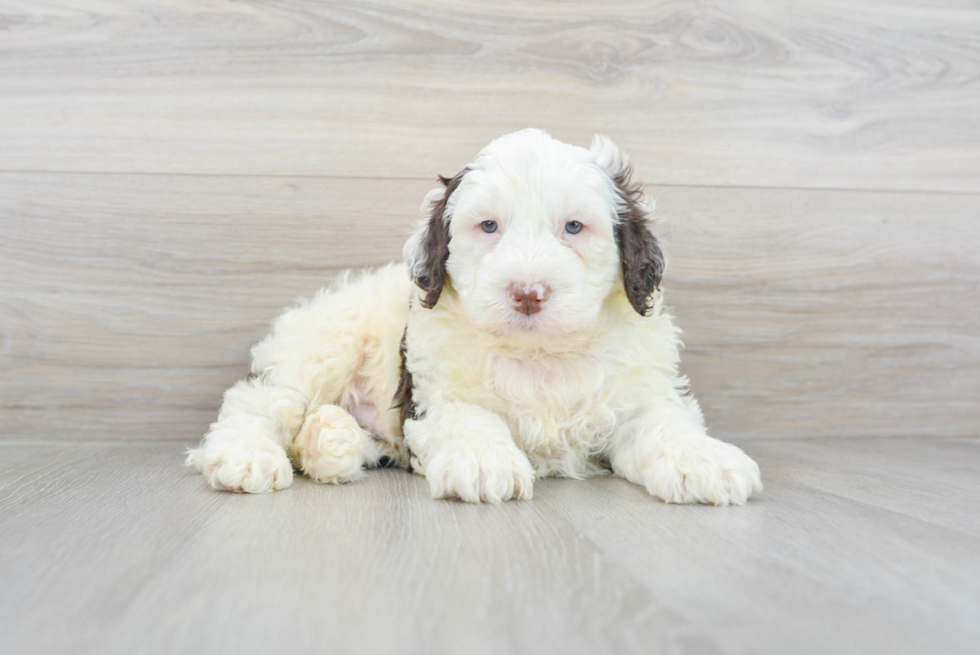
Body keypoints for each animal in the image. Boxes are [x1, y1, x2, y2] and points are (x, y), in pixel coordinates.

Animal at [188, 129, 760, 508]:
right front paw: (485, 462)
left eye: (574, 227)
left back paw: (331, 440)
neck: (540, 354)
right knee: (259, 401)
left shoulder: (639, 393)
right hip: (323, 344)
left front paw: (705, 460)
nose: (527, 293)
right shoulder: (436, 392)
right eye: (488, 226)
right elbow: (471, 416)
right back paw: (245, 456)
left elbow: (664, 424)